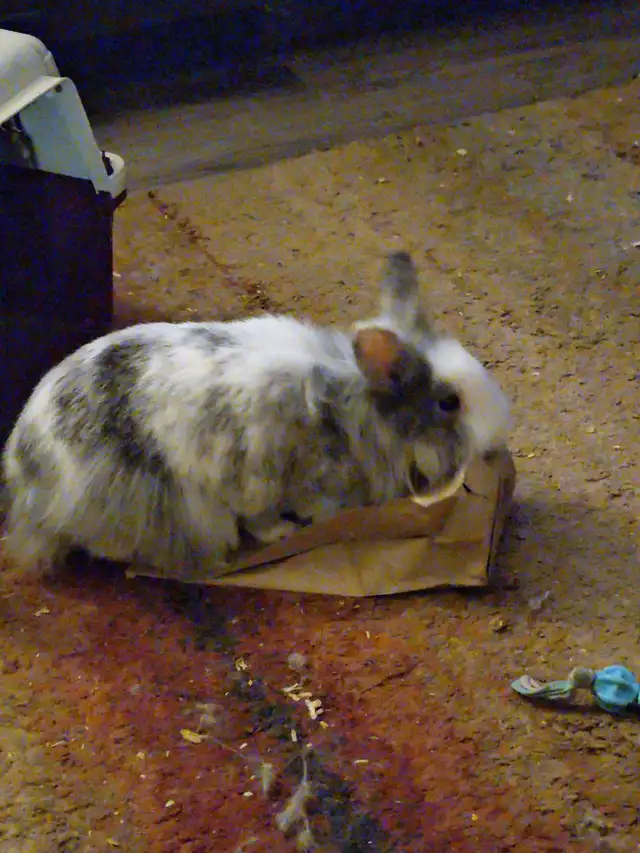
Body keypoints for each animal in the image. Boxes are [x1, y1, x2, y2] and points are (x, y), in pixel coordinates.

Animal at [1, 251, 510, 580]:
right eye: (449, 403)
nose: (499, 431)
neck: (353, 408)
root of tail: (24, 490)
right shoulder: (262, 480)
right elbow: (263, 518)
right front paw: (285, 530)